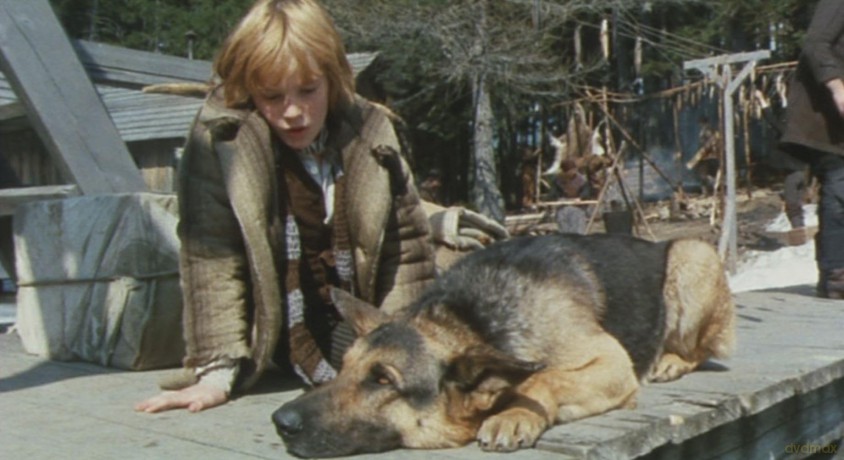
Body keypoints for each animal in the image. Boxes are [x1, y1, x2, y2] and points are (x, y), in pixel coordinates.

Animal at [272, 233, 735, 457]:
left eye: (383, 380)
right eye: (344, 369)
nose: (281, 422)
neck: (471, 320)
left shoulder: (611, 361)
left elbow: (541, 379)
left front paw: (513, 414)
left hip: (693, 255)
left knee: (701, 349)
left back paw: (671, 360)